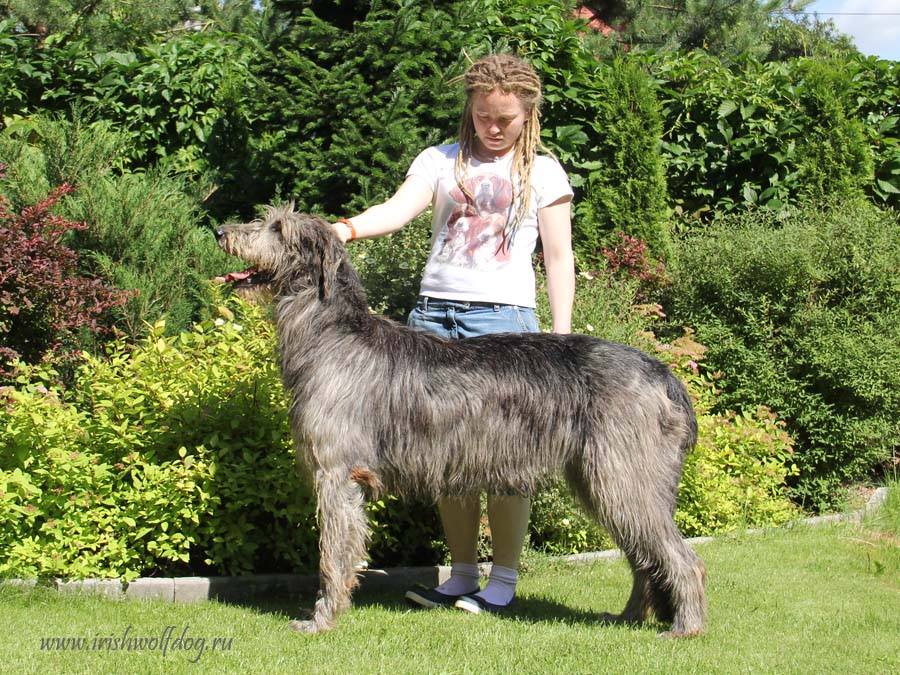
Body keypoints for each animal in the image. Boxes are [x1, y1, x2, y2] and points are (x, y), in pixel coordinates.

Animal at [214, 206, 708, 640]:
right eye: (268, 220)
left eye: (278, 228)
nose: (221, 231)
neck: (332, 334)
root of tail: (663, 374)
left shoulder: (337, 475)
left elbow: (332, 556)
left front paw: (320, 620)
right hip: (606, 480)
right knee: (646, 559)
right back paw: (628, 617)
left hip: (622, 477)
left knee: (682, 557)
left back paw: (685, 627)